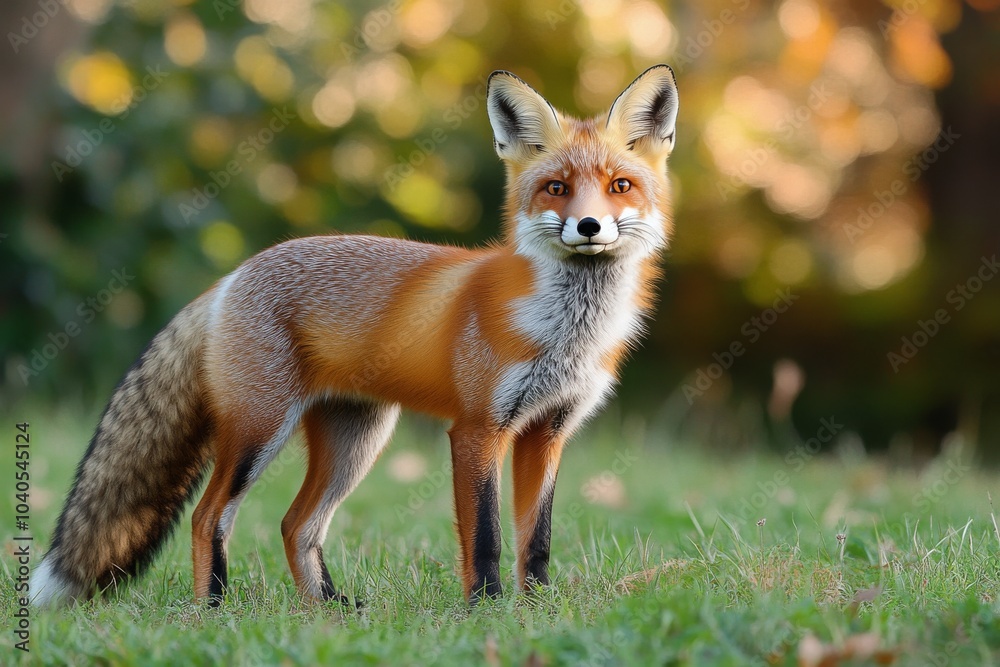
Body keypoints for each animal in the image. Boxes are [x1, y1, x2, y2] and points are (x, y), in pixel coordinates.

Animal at [31, 64, 679, 607]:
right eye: (556, 188)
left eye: (620, 186)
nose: (589, 226)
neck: (564, 330)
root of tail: (231, 277)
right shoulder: (477, 428)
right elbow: (487, 536)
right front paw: (487, 609)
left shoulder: (547, 432)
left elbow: (536, 539)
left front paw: (537, 609)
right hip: (258, 431)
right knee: (210, 515)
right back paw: (213, 607)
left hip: (356, 442)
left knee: (295, 524)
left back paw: (328, 607)